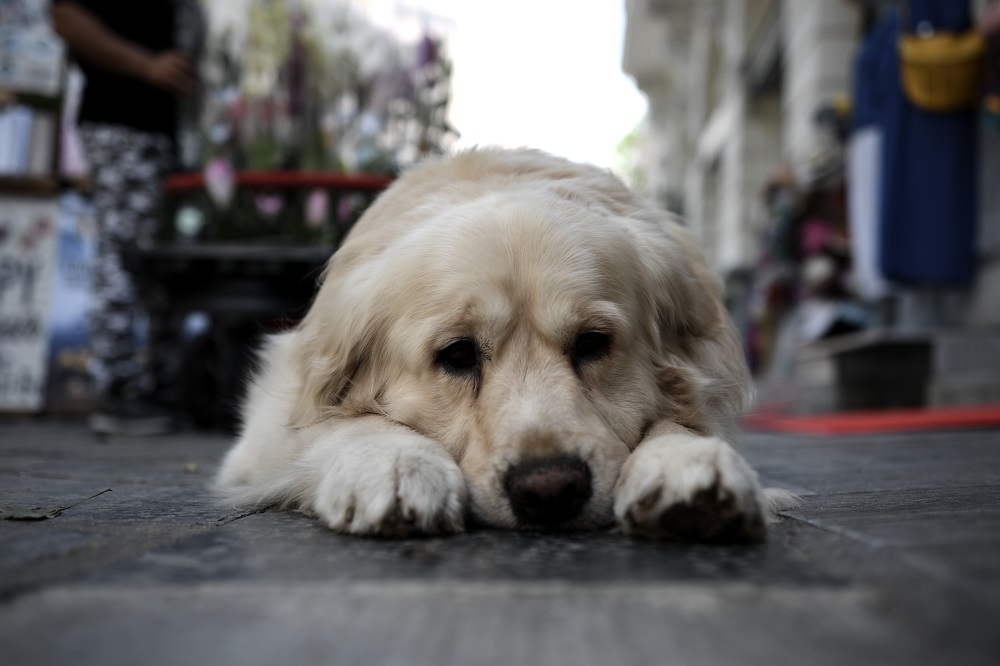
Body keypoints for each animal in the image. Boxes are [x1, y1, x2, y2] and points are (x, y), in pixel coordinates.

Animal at [215, 147, 800, 540]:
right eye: (457, 355)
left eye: (593, 343)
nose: (549, 489)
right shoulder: (273, 422)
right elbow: (340, 425)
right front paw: (395, 463)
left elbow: (678, 420)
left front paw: (685, 464)